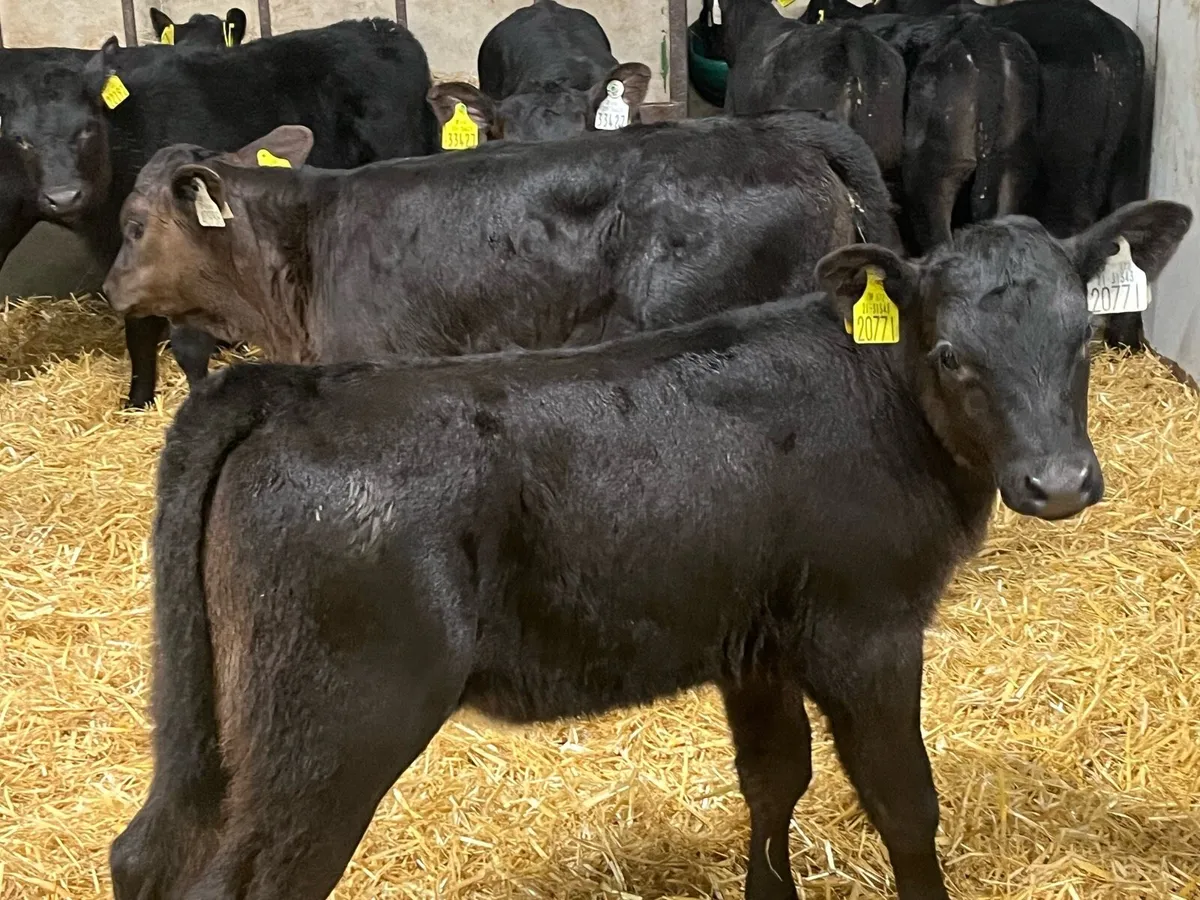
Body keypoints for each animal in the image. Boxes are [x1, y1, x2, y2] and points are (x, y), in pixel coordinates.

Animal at [0, 18, 436, 408]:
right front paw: (137, 401)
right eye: (19, 139)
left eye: (87, 128)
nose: (64, 196)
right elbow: (139, 329)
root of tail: (381, 28)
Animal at [108, 198, 1192, 900]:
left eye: (1083, 342)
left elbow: (775, 777)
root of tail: (290, 388)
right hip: (335, 723)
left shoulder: (754, 641)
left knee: (144, 854)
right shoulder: (867, 630)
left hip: (216, 722)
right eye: (951, 354)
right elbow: (903, 803)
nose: (1059, 482)